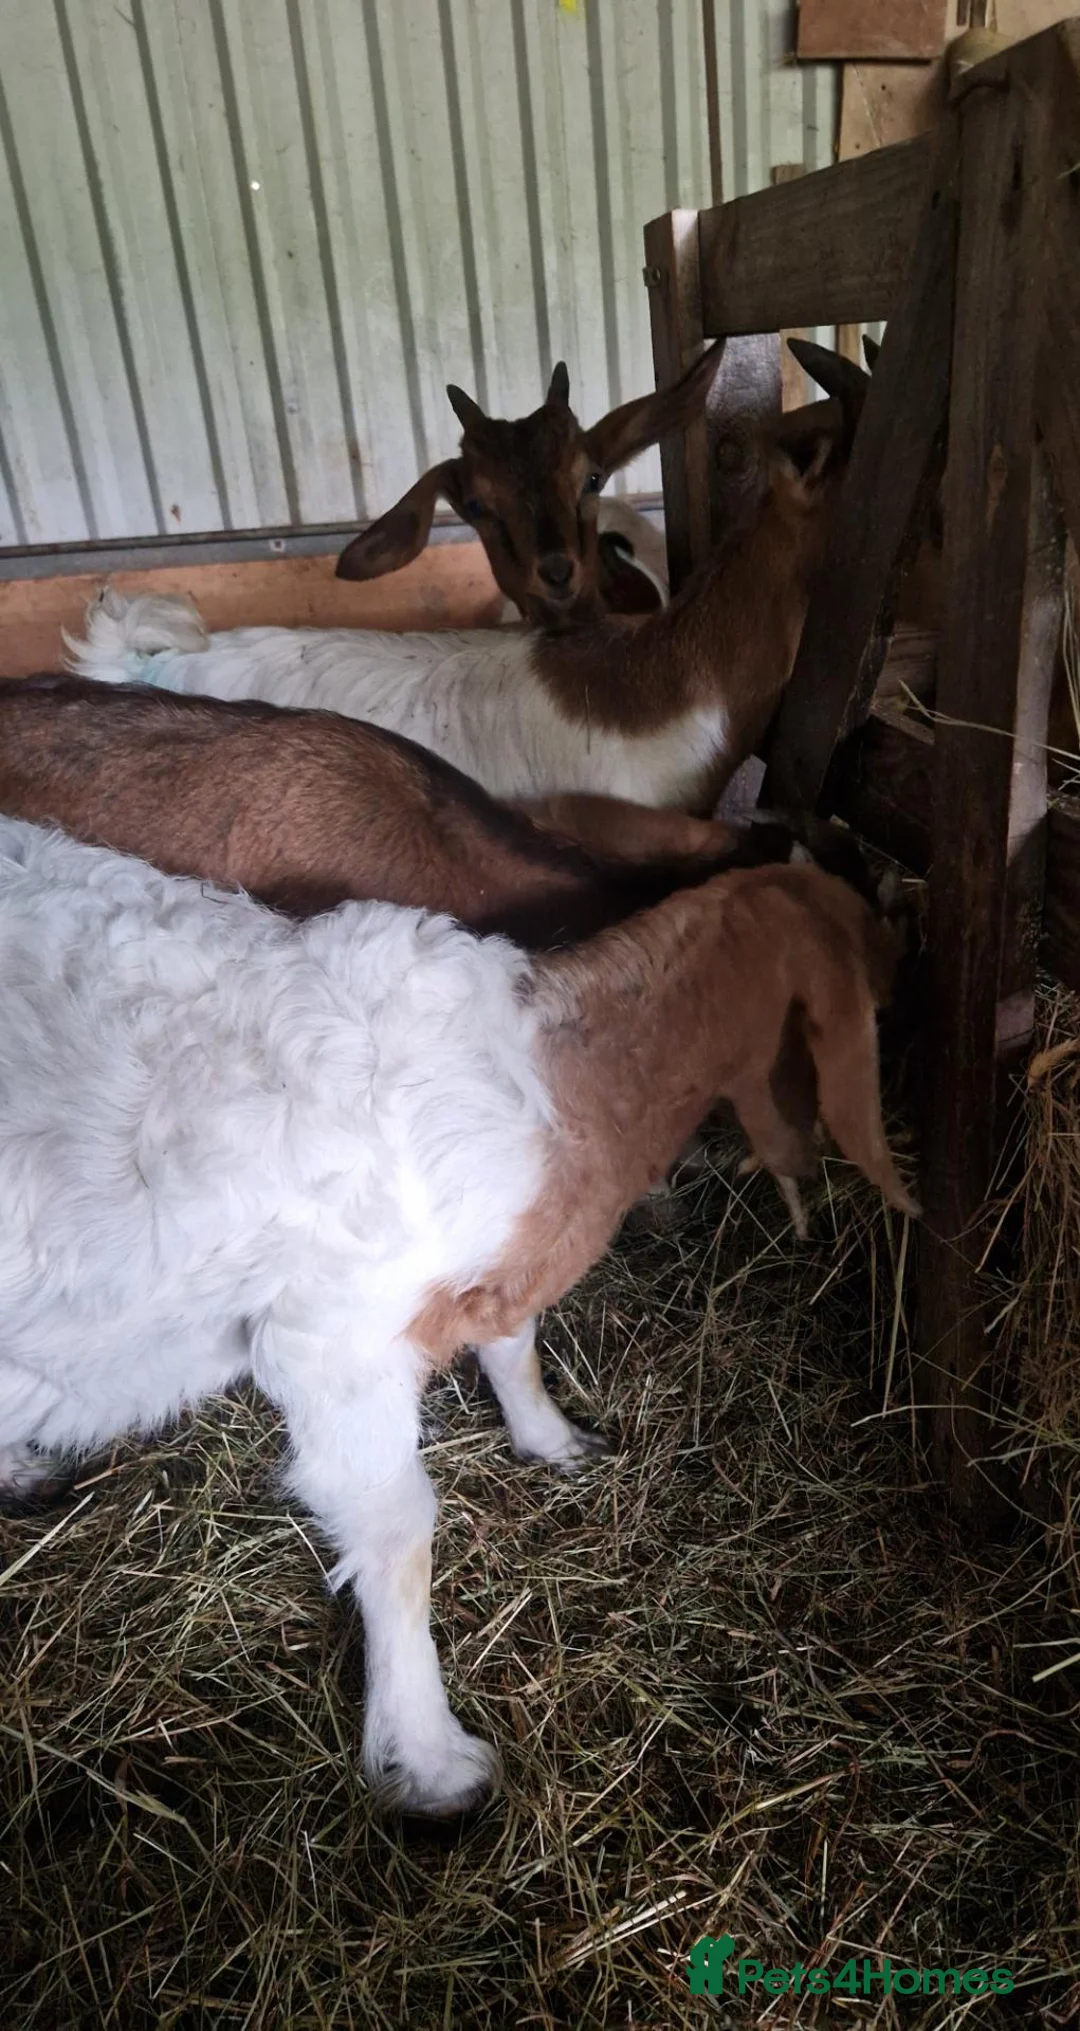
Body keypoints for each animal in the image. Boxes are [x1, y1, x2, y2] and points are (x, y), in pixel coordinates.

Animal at [0, 816, 917, 1815]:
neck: (562, 1075)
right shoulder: (336, 1341)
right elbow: (399, 1534)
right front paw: (432, 1756)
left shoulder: (486, 1275)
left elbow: (514, 1346)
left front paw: (554, 1440)